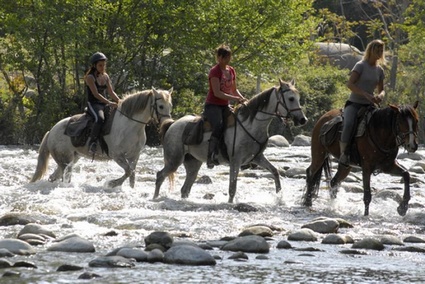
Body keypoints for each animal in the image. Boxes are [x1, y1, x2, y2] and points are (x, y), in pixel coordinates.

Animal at [29, 87, 173, 187]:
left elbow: (132, 175)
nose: (168, 123)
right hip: (65, 161)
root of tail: (51, 131)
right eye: (160, 106)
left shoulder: (134, 156)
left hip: (72, 159)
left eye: (170, 106)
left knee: (54, 176)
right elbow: (128, 172)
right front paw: (112, 184)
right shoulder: (117, 156)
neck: (130, 125)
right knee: (64, 176)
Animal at [154, 79, 306, 202]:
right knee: (160, 175)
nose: (303, 120)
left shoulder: (257, 157)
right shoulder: (235, 161)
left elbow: (275, 172)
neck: (251, 124)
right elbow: (232, 188)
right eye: (291, 98)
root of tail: (172, 124)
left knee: (185, 189)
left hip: (193, 164)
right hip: (174, 160)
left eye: (298, 98)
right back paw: (155, 198)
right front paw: (230, 204)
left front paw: (279, 197)